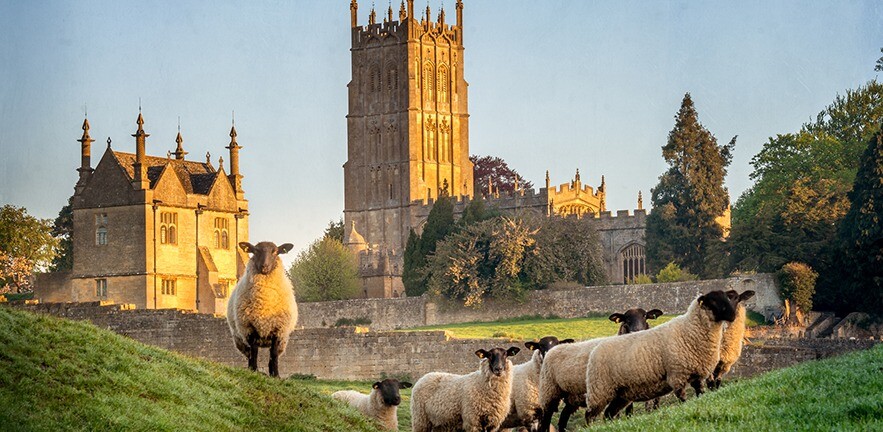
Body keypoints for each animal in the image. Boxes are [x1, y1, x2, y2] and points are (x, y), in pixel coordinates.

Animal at [226, 241, 298, 376]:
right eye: (255, 251)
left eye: (275, 251)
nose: (265, 267)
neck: (265, 300)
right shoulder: (250, 329)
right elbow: (254, 352)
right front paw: (254, 370)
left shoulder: (278, 330)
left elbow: (273, 354)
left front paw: (276, 375)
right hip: (240, 339)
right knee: (249, 353)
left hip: (282, 341)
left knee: (272, 355)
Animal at [588, 290, 740, 422]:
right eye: (625, 319)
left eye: (645, 316)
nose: (733, 316)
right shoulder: (675, 376)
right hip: (604, 390)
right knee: (596, 413)